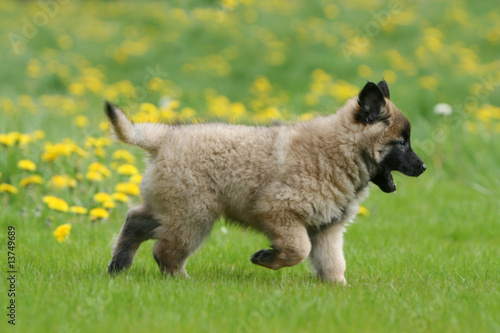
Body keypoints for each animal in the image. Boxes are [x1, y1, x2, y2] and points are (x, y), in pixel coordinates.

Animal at [105, 80, 426, 282]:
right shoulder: (279, 211)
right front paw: (267, 258)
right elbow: (299, 249)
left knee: (135, 220)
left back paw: (119, 264)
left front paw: (338, 291)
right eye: (401, 143)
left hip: (170, 207)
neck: (339, 150)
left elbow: (333, 264)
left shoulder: (327, 229)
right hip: (193, 215)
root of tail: (164, 138)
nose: (423, 167)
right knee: (165, 252)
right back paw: (180, 280)